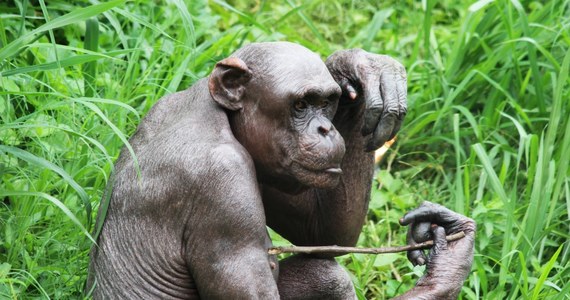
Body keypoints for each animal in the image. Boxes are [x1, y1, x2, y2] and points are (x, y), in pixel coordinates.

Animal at [86, 41, 472, 298]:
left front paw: (360, 71)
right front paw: (450, 264)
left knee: (324, 275)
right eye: (301, 104)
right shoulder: (224, 186)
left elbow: (322, 235)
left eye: (327, 103)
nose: (326, 129)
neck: (219, 114)